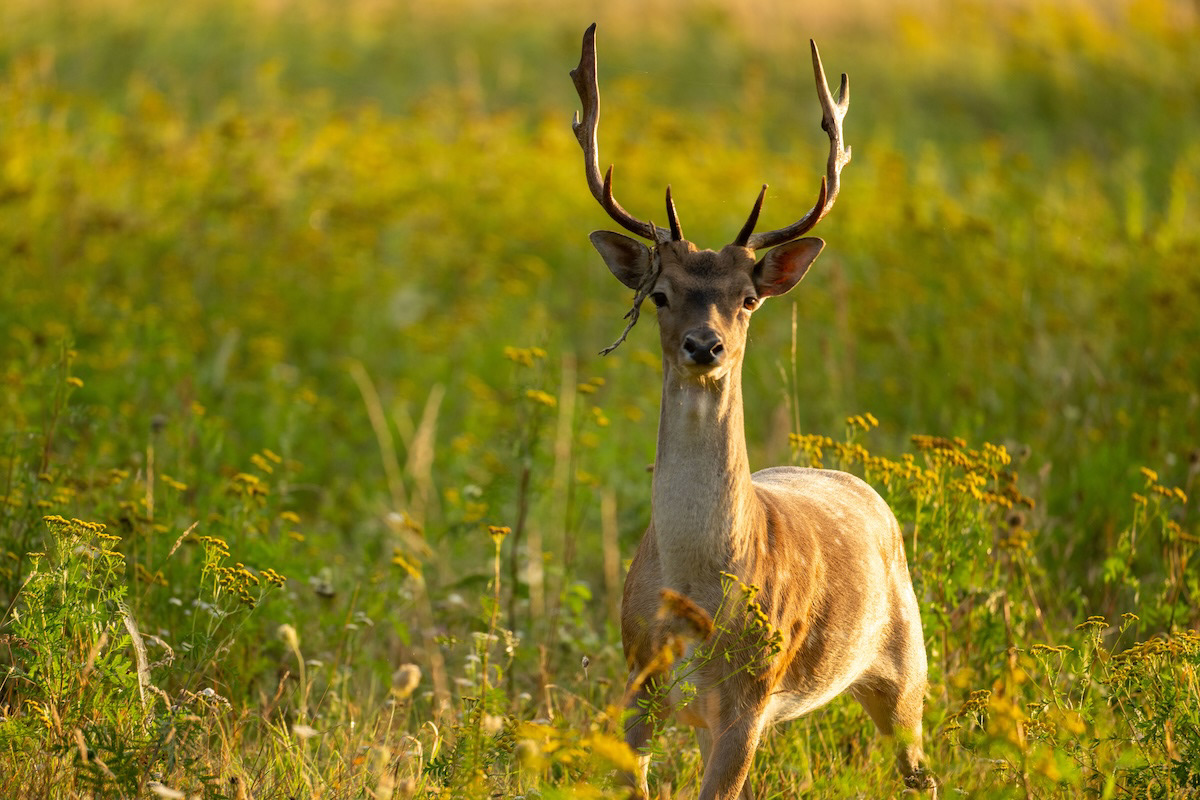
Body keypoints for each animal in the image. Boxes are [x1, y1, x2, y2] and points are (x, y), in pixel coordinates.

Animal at [569, 24, 936, 800]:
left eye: (746, 299)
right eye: (660, 293)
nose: (703, 346)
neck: (698, 596)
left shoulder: (750, 692)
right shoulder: (639, 679)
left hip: (905, 661)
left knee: (920, 765)